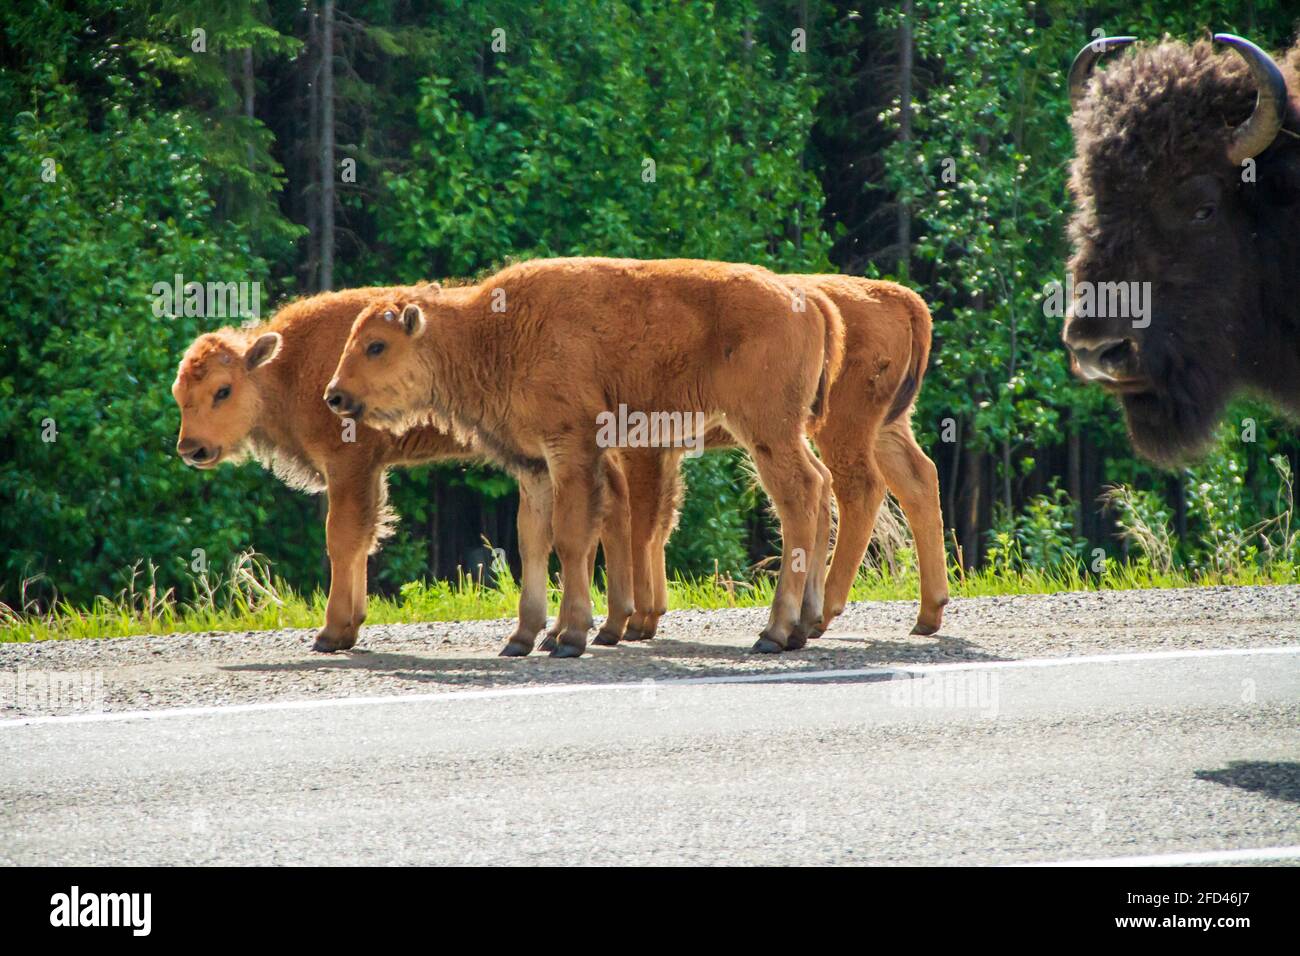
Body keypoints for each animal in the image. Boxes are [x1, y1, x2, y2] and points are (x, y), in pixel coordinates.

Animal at [325, 256, 842, 658]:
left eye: (377, 345)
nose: (334, 395)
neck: (492, 332)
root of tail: (806, 297)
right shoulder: (534, 465)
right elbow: (532, 541)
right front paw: (522, 638)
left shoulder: (571, 450)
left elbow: (572, 538)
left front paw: (571, 636)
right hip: (786, 432)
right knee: (821, 487)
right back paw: (801, 628)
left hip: (766, 430)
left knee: (800, 496)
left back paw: (774, 632)